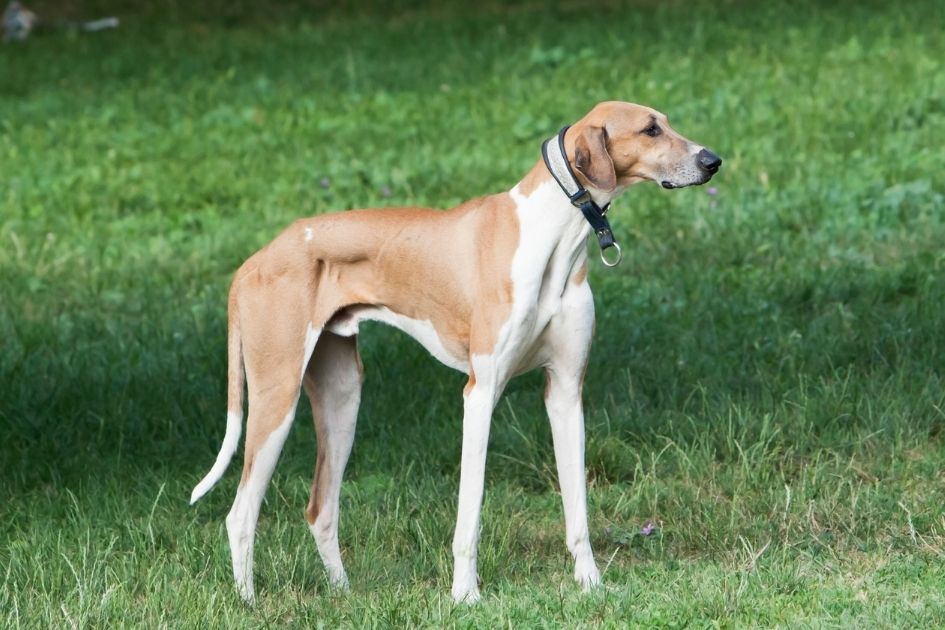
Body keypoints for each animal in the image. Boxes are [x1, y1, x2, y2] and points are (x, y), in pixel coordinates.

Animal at [192, 101, 724, 604]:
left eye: (666, 122)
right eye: (650, 129)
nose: (713, 161)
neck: (550, 232)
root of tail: (253, 261)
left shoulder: (566, 393)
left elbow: (578, 509)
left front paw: (590, 584)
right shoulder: (480, 393)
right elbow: (470, 512)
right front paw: (465, 595)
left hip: (342, 398)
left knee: (321, 508)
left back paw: (342, 592)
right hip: (276, 401)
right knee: (240, 513)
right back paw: (248, 601)